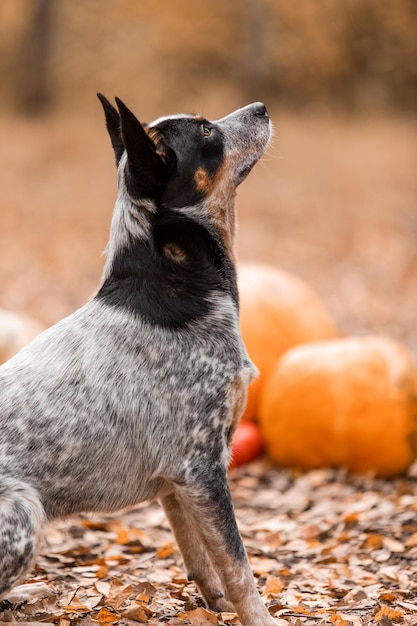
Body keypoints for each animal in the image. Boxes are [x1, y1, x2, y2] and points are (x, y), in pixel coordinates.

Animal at [0, 94, 274, 624]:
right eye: (206, 131)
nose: (262, 106)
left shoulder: (178, 484)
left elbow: (199, 555)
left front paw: (212, 605)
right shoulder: (202, 468)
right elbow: (238, 566)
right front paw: (260, 618)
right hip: (24, 513)